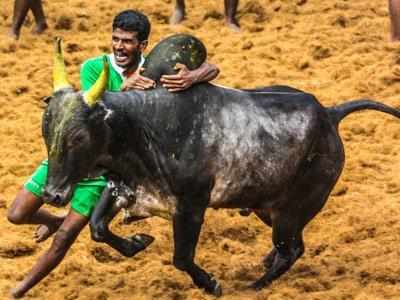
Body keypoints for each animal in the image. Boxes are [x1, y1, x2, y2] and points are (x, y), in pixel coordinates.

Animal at [42, 36, 400, 296]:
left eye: (79, 136)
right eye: (46, 130)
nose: (52, 194)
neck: (143, 126)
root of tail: (329, 113)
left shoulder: (190, 207)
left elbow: (181, 258)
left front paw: (211, 284)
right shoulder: (125, 188)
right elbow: (98, 228)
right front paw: (138, 242)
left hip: (293, 210)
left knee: (291, 250)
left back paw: (255, 286)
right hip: (266, 207)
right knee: (289, 248)